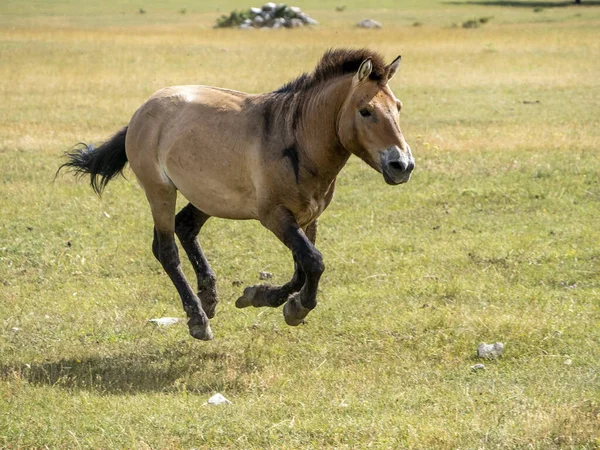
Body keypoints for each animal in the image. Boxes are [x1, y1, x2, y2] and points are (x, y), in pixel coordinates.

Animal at [62, 48, 418, 342]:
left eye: (398, 107)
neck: (296, 140)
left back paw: (209, 297)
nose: (402, 165)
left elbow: (302, 268)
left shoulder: (309, 218)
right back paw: (198, 319)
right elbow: (313, 263)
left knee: (185, 227)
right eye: (365, 111)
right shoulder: (275, 217)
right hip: (160, 190)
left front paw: (261, 297)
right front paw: (295, 308)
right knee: (166, 250)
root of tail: (142, 110)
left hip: (206, 196)